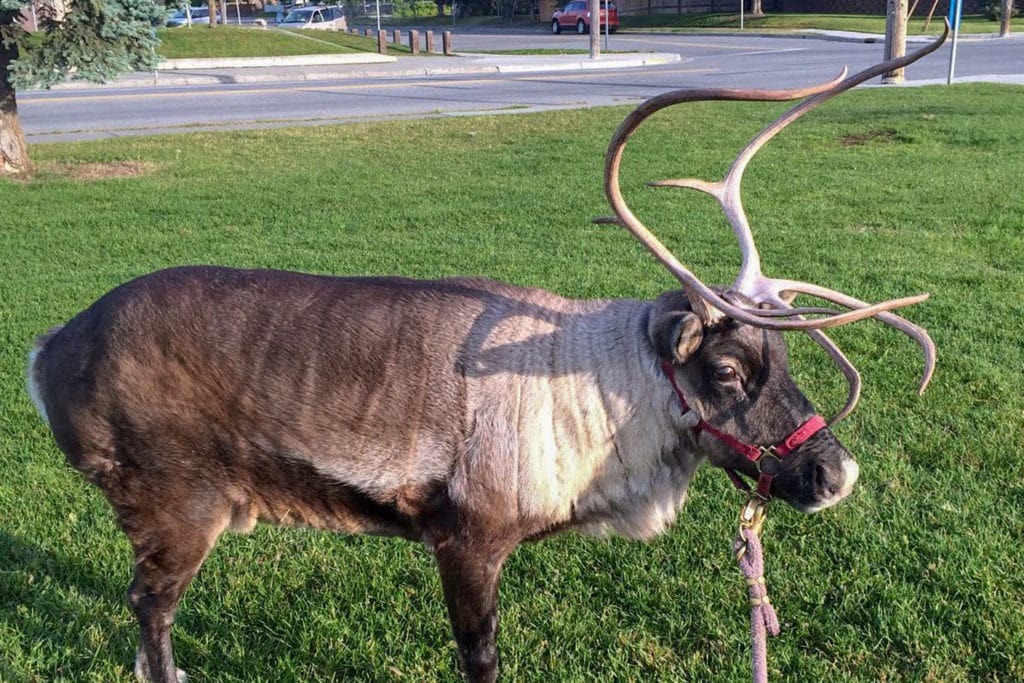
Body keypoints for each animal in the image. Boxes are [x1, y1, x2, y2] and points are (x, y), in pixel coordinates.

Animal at [26, 30, 946, 683]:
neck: (599, 397)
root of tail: (47, 349)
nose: (835, 474)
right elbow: (482, 657)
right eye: (724, 373)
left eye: (787, 363)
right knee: (149, 610)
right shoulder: (466, 537)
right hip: (176, 505)